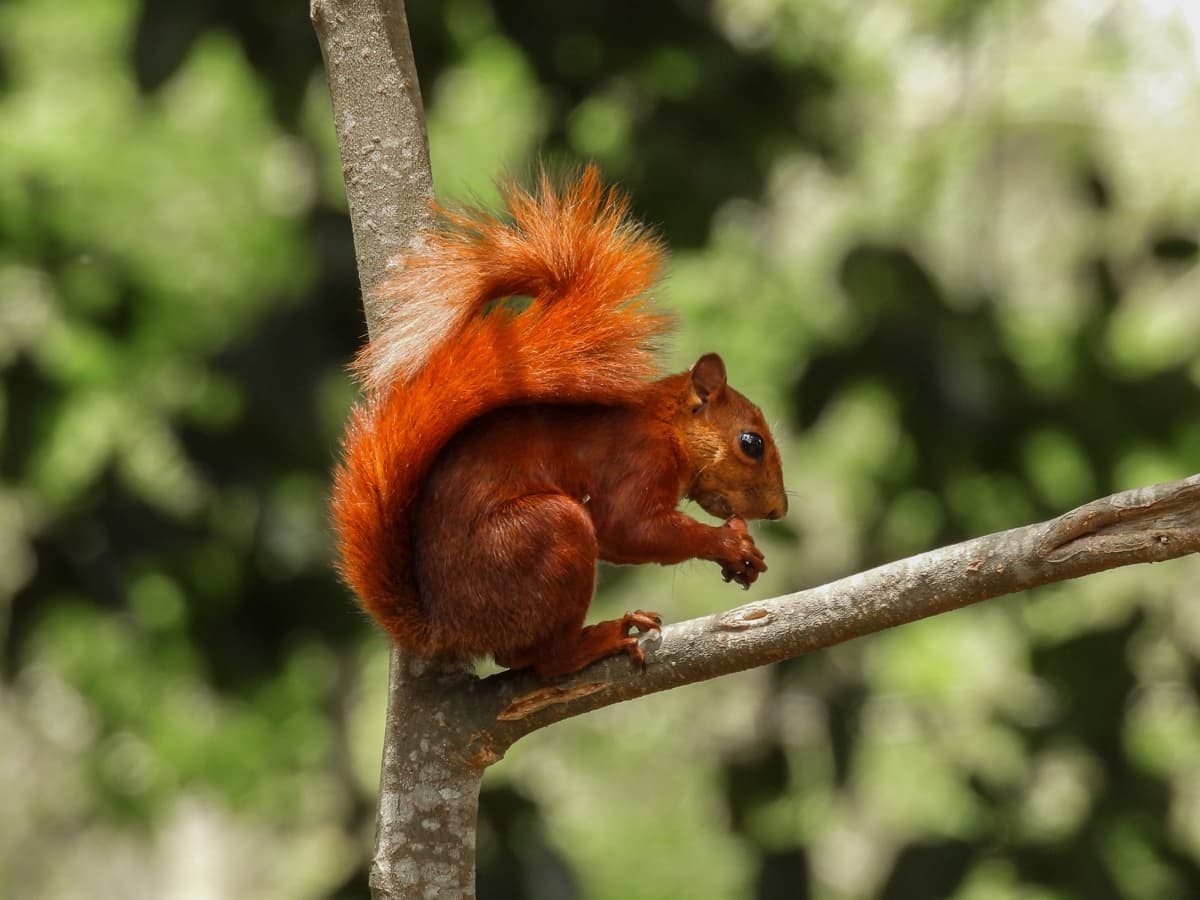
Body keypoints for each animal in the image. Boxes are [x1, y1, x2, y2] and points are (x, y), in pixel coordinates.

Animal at [331, 166, 788, 679]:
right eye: (752, 443)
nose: (778, 510)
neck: (668, 425)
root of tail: (448, 629)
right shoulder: (638, 459)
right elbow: (628, 527)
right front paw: (730, 544)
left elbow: (616, 540)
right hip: (544, 535)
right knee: (543, 659)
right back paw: (604, 637)